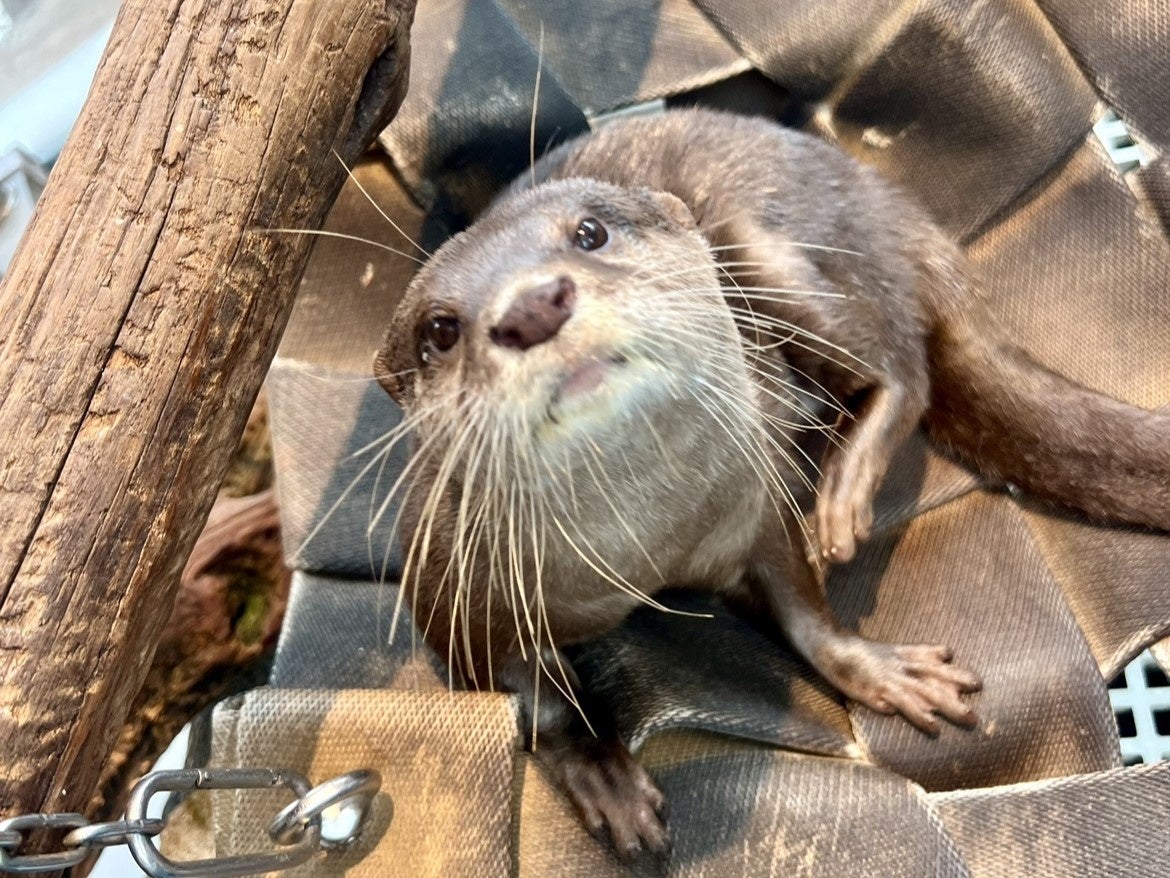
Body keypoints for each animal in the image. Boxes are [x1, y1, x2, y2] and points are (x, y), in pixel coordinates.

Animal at [372, 108, 1170, 861]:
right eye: (439, 330)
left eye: (589, 232)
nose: (533, 305)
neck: (651, 548)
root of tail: (887, 204)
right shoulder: (453, 600)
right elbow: (533, 704)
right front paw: (602, 774)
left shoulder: (760, 504)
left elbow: (805, 607)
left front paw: (878, 669)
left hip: (764, 245)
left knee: (901, 363)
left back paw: (844, 494)